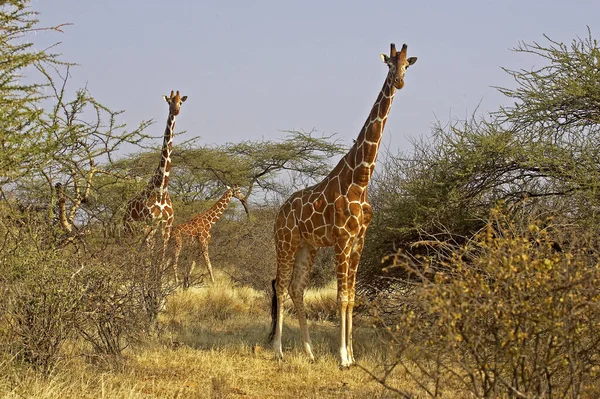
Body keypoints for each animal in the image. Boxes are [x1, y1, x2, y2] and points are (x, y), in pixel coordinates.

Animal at [122, 90, 186, 262]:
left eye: (181, 102)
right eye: (170, 101)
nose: (175, 110)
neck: (161, 188)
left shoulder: (166, 226)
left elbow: (161, 258)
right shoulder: (150, 224)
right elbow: (150, 259)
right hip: (129, 229)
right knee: (130, 253)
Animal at [272, 43, 418, 368]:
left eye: (407, 66)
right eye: (389, 64)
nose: (400, 82)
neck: (360, 180)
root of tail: (279, 212)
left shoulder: (358, 241)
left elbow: (351, 297)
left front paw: (352, 356)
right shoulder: (341, 239)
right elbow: (340, 298)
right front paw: (341, 356)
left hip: (308, 246)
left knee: (296, 289)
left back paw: (309, 352)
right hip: (285, 243)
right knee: (280, 287)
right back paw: (278, 350)